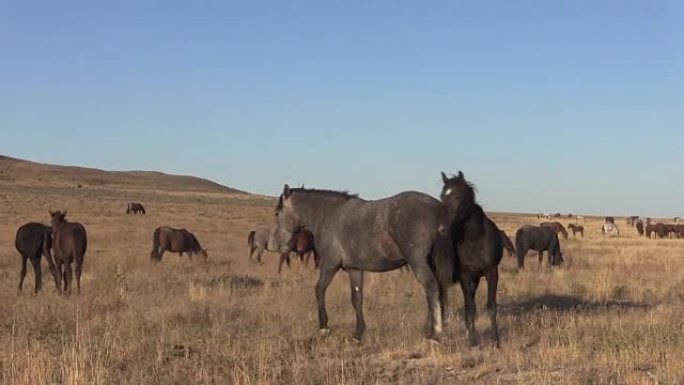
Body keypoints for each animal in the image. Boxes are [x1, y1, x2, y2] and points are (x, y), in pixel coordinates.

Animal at [268, 182, 454, 340]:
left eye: (277, 213)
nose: (276, 245)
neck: (328, 215)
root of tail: (438, 207)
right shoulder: (354, 269)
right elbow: (356, 298)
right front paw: (358, 332)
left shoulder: (329, 264)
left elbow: (319, 289)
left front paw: (324, 327)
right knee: (436, 290)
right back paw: (428, 330)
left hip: (418, 262)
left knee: (431, 287)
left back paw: (436, 333)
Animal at [440, 172, 504, 346]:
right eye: (442, 196)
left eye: (457, 196)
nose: (441, 228)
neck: (475, 239)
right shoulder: (465, 276)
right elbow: (470, 308)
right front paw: (472, 341)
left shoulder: (491, 272)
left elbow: (491, 306)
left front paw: (495, 340)